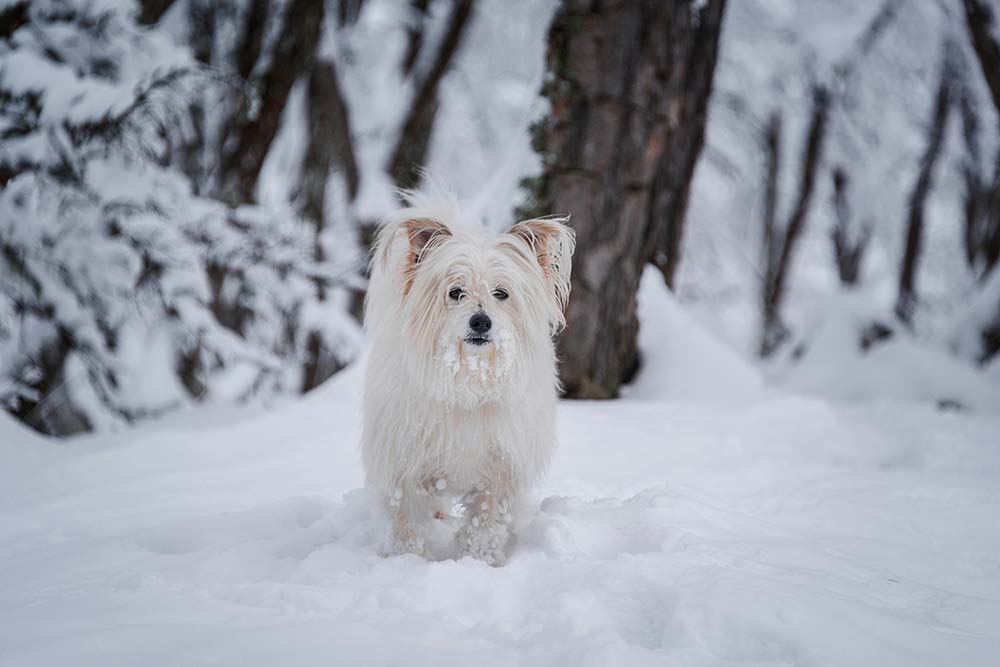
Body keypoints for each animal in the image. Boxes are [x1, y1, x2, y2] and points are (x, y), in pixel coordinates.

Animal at [364, 192, 576, 564]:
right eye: (455, 292)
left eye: (501, 294)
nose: (481, 321)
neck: (467, 382)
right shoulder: (402, 467)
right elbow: (405, 521)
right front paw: (407, 560)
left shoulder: (498, 472)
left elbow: (484, 525)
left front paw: (478, 562)